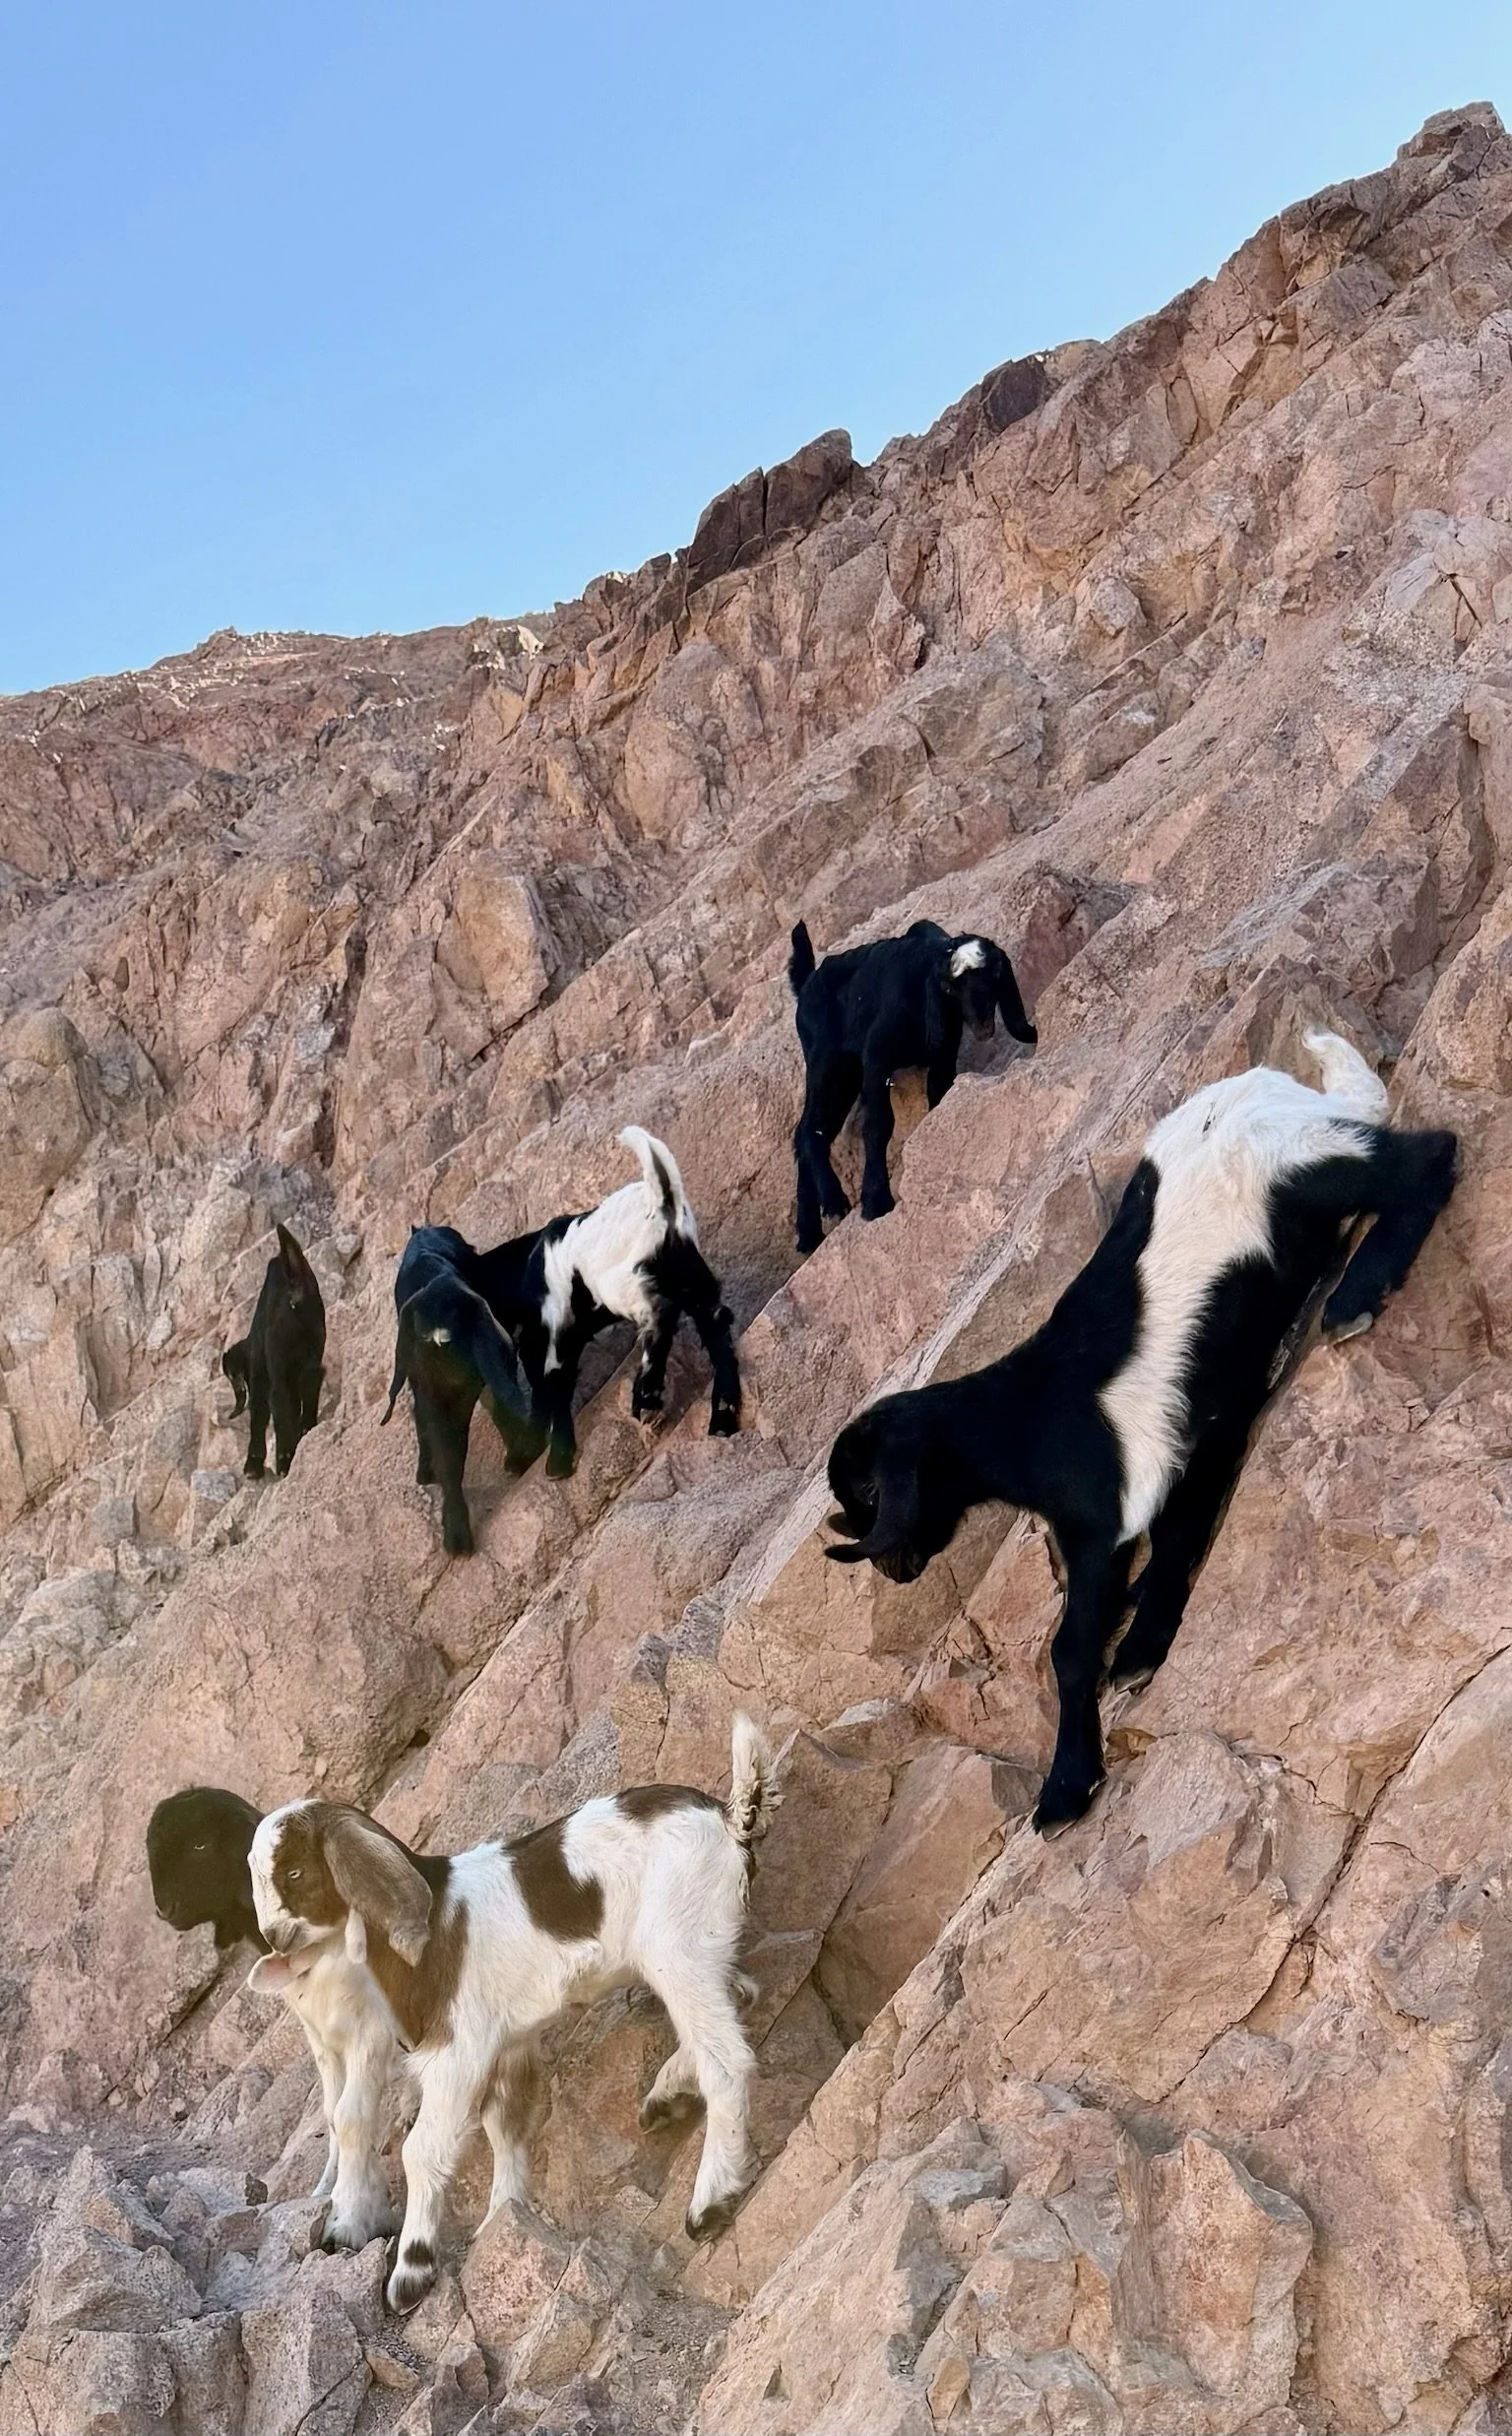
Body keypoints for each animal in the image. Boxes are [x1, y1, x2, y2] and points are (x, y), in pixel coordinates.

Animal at [223, 1223, 327, 1477]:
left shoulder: (259, 1376)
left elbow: (259, 1412)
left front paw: (252, 1466)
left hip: (278, 1355)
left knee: (279, 1399)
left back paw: (284, 1461)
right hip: (314, 1340)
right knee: (311, 1378)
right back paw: (305, 1428)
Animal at [246, 1716, 775, 2314]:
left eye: (294, 1872)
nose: (273, 1937)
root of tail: (728, 1817)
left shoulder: (458, 2049)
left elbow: (420, 2149)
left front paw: (410, 2273)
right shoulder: (509, 2044)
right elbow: (505, 2123)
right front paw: (502, 2215)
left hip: (676, 1948)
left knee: (726, 2060)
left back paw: (710, 2202)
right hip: (701, 1947)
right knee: (740, 1994)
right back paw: (668, 2094)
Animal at [480, 1127, 741, 1479]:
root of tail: (661, 1200)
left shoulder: (554, 1334)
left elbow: (552, 1387)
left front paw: (553, 1460)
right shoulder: (553, 1341)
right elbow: (548, 1390)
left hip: (623, 1282)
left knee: (659, 1318)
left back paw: (647, 1396)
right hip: (689, 1276)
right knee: (715, 1322)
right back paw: (723, 1414)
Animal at [789, 917, 1037, 1253]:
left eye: (997, 975)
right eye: (950, 988)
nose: (984, 1027)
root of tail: (807, 982)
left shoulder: (944, 1053)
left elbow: (938, 1093)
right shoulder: (876, 1055)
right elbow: (879, 1124)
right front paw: (876, 1202)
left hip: (846, 1076)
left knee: (809, 1133)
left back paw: (809, 1234)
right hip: (826, 1061)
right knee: (809, 1129)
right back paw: (833, 1202)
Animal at [825, 1031, 1457, 1835]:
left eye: (874, 1492)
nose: (892, 1570)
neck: (1025, 1420)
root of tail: (1283, 1089)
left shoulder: (1112, 1512)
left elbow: (1071, 1648)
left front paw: (1067, 1785)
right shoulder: (1173, 1455)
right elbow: (1174, 1536)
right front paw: (1142, 1644)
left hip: (1296, 1170)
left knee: (1425, 1157)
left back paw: (1356, 1293)